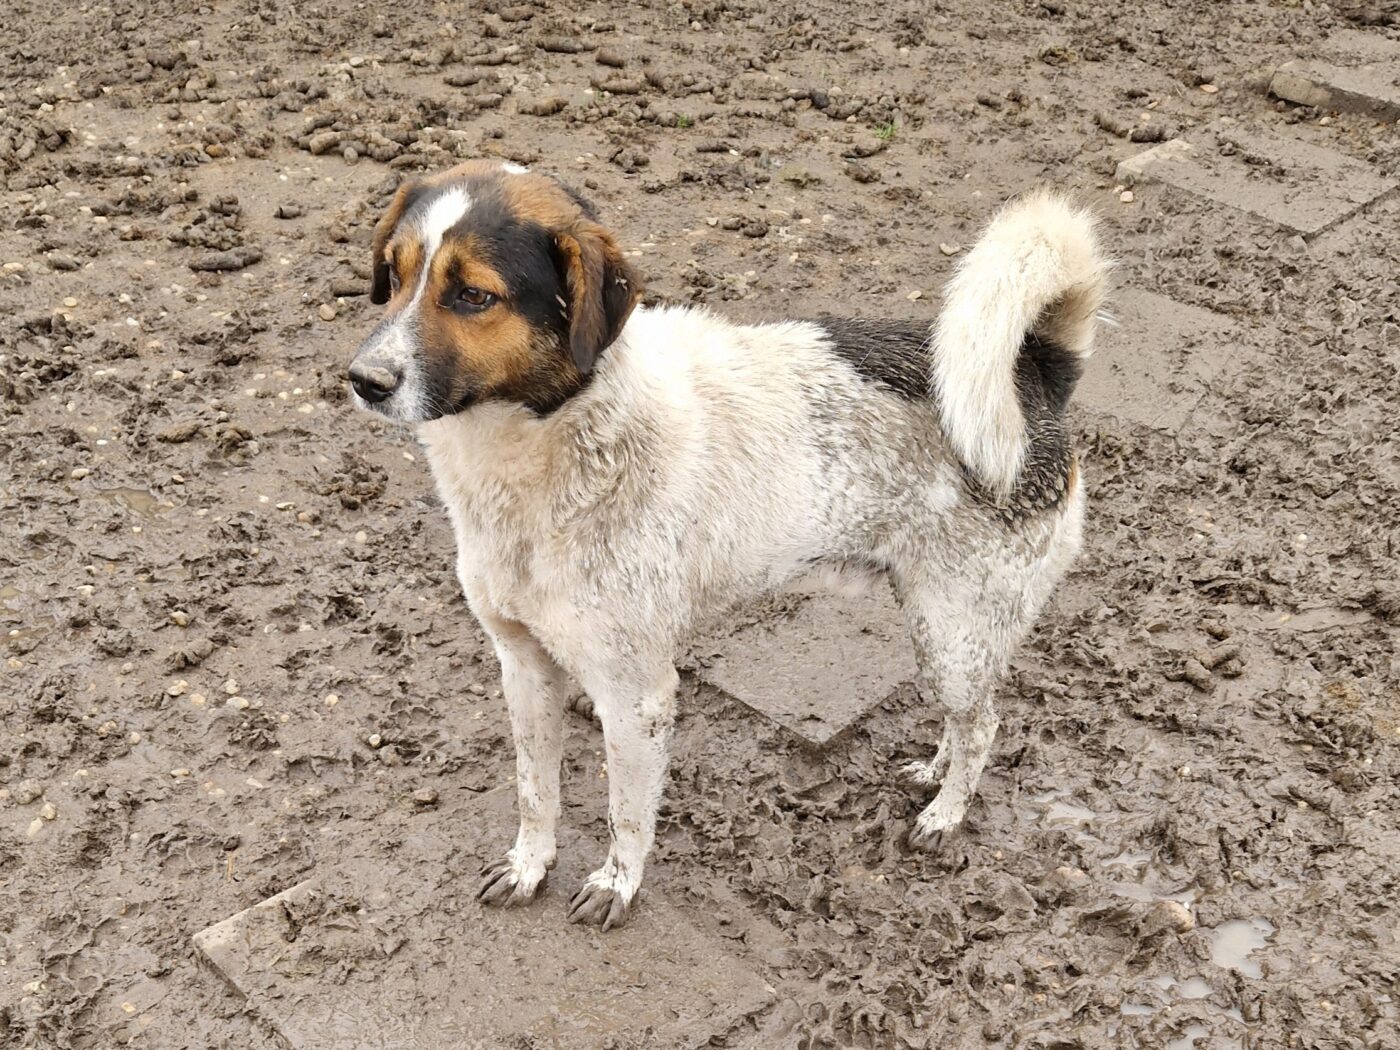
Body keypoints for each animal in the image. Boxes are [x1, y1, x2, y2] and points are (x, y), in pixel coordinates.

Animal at [348, 159, 1107, 930]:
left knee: (984, 723)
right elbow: (537, 791)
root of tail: (1035, 372)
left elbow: (626, 812)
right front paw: (529, 866)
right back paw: (932, 773)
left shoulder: (637, 693)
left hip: (954, 628)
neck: (550, 436)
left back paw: (945, 815)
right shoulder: (522, 664)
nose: (363, 381)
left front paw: (616, 884)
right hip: (941, 627)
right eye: (393, 273)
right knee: (964, 715)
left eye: (474, 295)